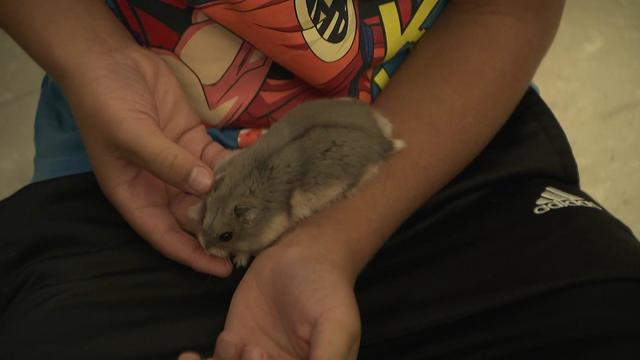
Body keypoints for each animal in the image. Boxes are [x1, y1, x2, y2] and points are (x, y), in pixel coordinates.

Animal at [199, 98, 404, 268]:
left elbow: (248, 249)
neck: (241, 188)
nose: (204, 247)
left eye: (226, 236)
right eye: (204, 217)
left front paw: (239, 260)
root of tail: (380, 140)